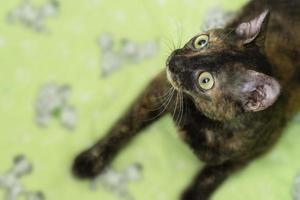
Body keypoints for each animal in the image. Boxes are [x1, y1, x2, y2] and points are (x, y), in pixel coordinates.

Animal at [72, 0, 300, 199]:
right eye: (201, 41)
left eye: (205, 81)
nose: (175, 60)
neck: (199, 116)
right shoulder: (158, 91)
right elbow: (124, 126)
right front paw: (90, 160)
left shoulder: (250, 153)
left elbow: (211, 176)